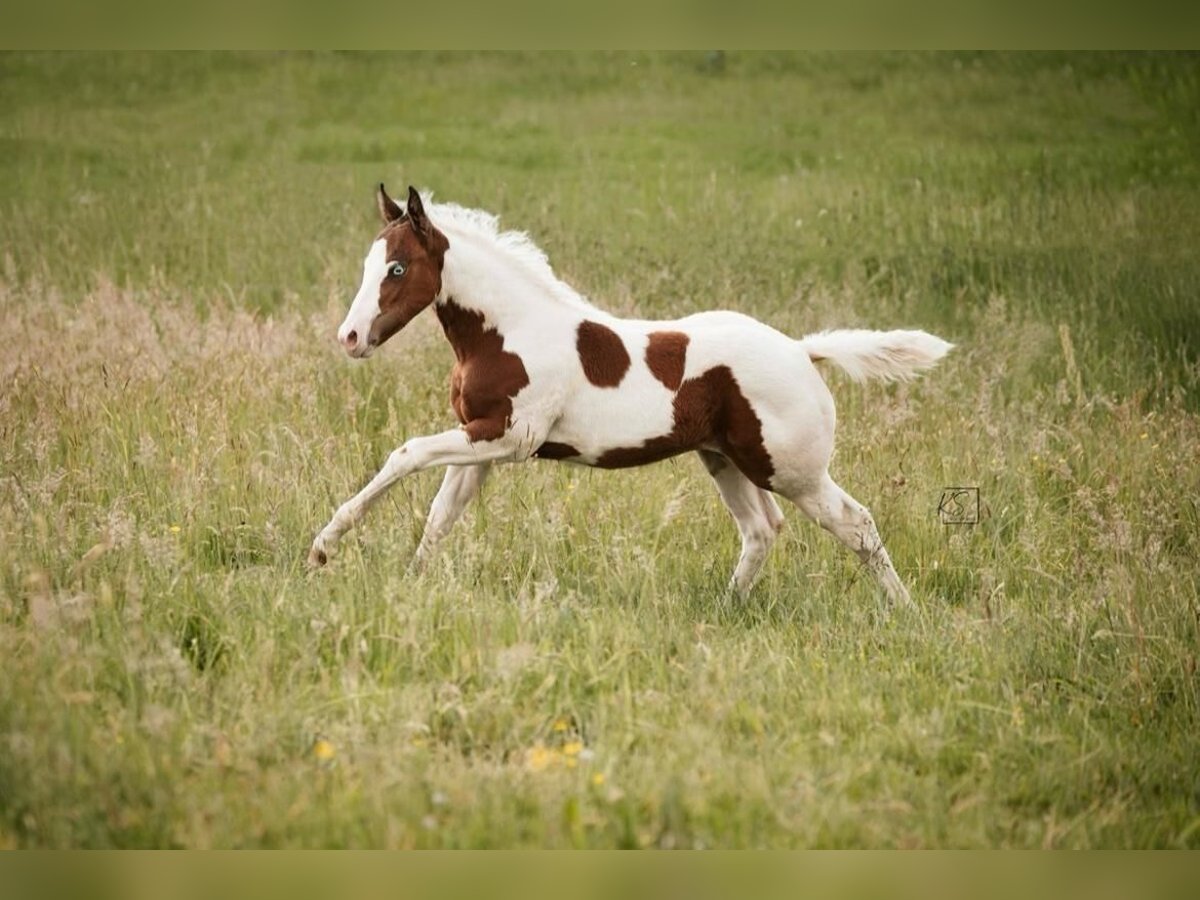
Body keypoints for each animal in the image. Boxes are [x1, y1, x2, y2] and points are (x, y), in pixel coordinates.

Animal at [309, 184, 952, 603]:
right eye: (370, 263)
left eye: (397, 269)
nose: (350, 337)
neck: (509, 331)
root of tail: (801, 351)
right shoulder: (481, 442)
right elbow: (441, 516)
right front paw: (410, 583)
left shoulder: (511, 438)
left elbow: (405, 453)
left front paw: (322, 548)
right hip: (723, 459)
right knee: (762, 529)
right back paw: (727, 609)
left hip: (790, 469)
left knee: (855, 522)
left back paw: (902, 612)